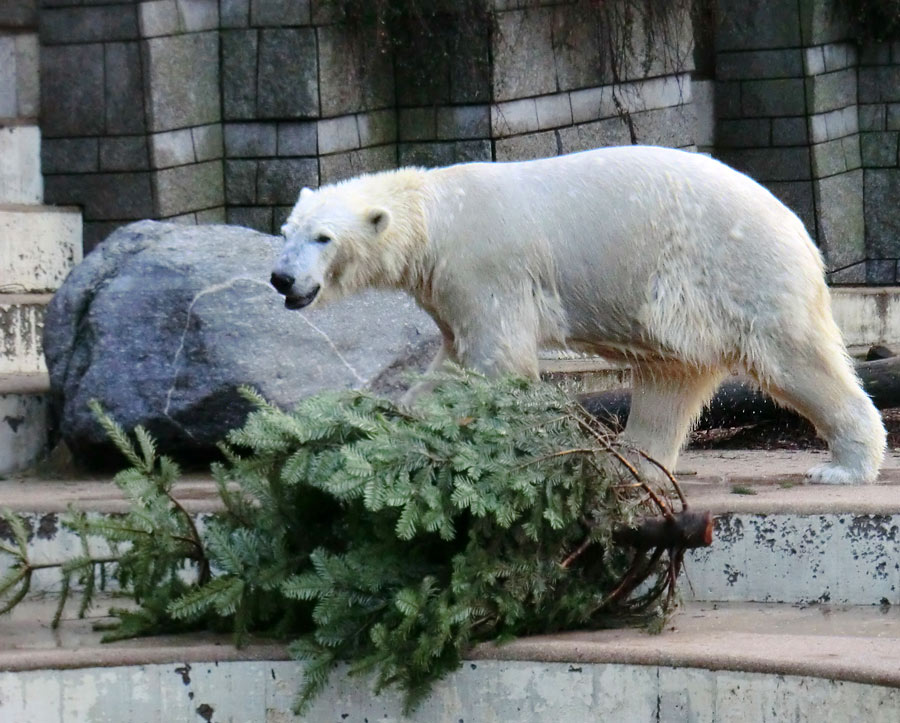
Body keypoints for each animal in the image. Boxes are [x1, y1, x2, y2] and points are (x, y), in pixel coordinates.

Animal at [272, 146, 884, 486]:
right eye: (286, 232)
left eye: (323, 238)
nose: (282, 279)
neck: (435, 214)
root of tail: (797, 227)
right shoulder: (444, 287)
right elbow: (451, 360)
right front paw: (396, 423)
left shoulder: (483, 266)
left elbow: (500, 359)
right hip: (679, 308)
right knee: (670, 382)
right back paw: (630, 466)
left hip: (736, 272)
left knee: (792, 357)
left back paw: (844, 466)